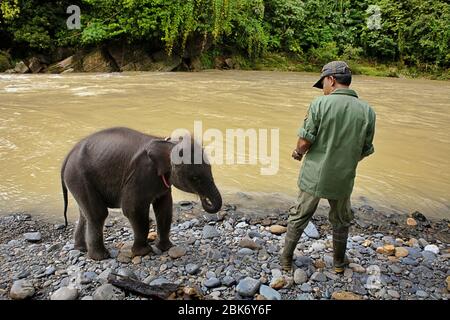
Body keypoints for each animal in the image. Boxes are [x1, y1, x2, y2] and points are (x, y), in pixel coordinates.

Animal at [60, 127, 222, 260]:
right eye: (195, 178)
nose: (204, 199)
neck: (169, 144)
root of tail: (67, 156)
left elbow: (164, 208)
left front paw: (166, 248)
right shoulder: (139, 174)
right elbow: (132, 209)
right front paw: (144, 252)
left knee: (85, 214)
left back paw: (80, 249)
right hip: (79, 176)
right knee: (98, 214)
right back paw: (101, 257)